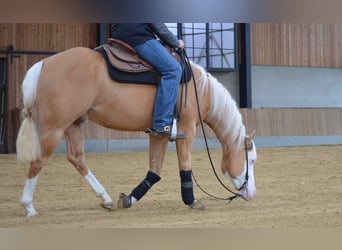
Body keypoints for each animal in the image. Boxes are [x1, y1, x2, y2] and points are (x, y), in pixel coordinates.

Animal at [16, 46, 256, 217]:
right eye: (251, 160)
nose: (251, 194)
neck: (201, 90)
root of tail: (44, 63)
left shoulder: (159, 133)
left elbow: (154, 171)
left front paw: (129, 199)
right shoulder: (186, 128)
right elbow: (185, 166)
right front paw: (192, 201)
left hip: (73, 125)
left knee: (77, 158)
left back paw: (105, 198)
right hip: (54, 128)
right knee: (38, 161)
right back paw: (28, 207)